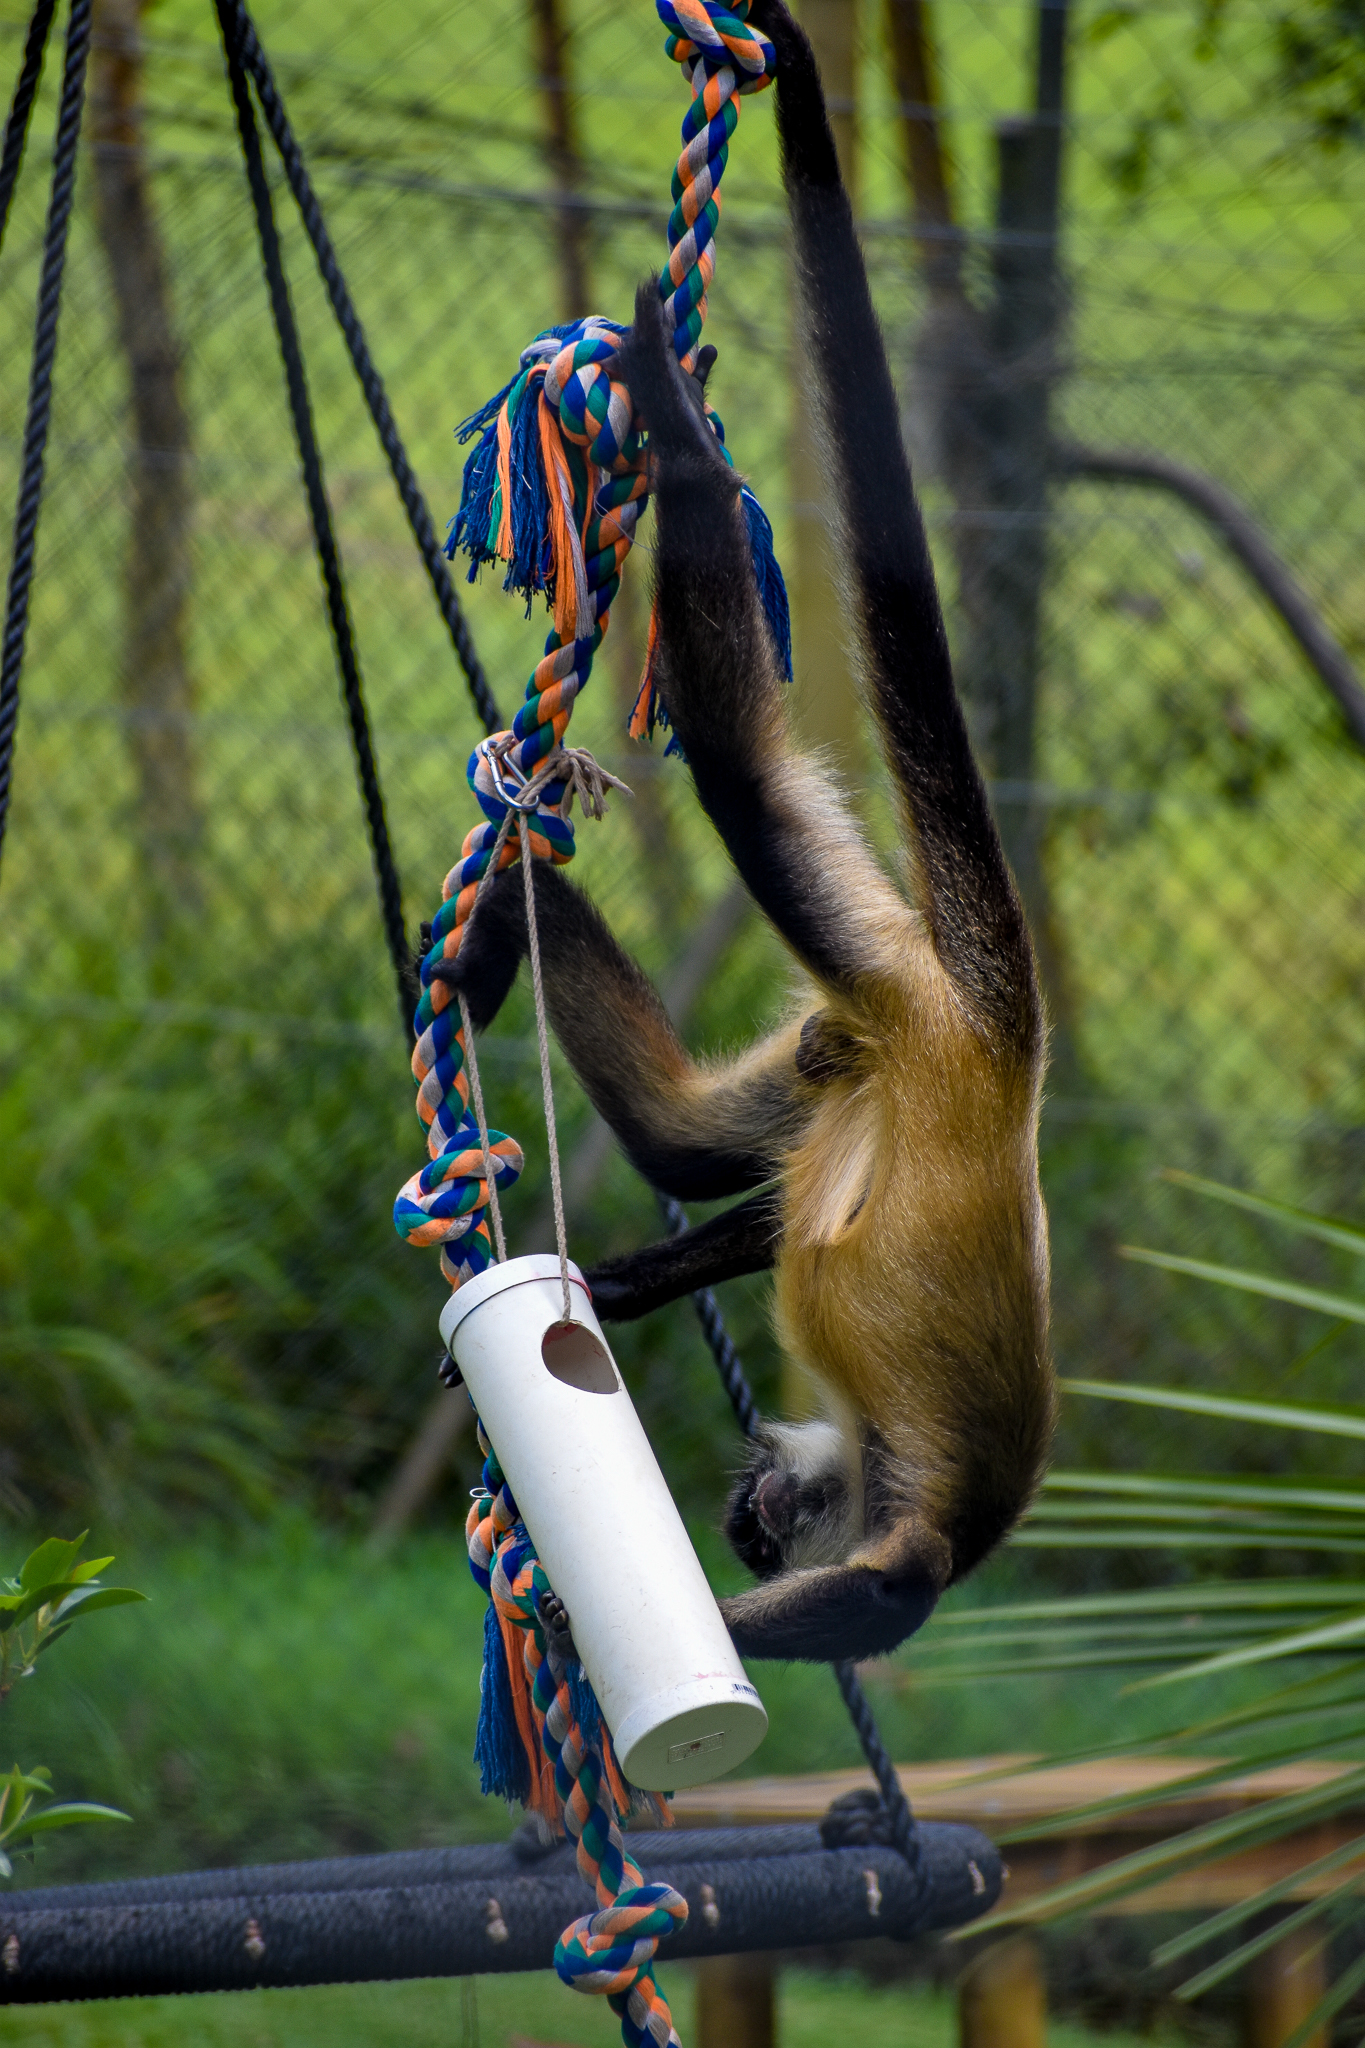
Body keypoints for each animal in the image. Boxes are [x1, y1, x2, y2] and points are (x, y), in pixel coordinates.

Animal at [437, 0, 1054, 1667]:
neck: (889, 1475)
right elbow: (877, 1604)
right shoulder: (914, 1551)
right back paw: (685, 438)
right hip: (893, 997)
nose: (748, 1510)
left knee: (688, 1142)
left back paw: (502, 913)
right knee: (735, 775)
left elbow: (756, 1206)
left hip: (856, 1036)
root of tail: (1005, 1051)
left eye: (759, 1516)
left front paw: (614, 1293)